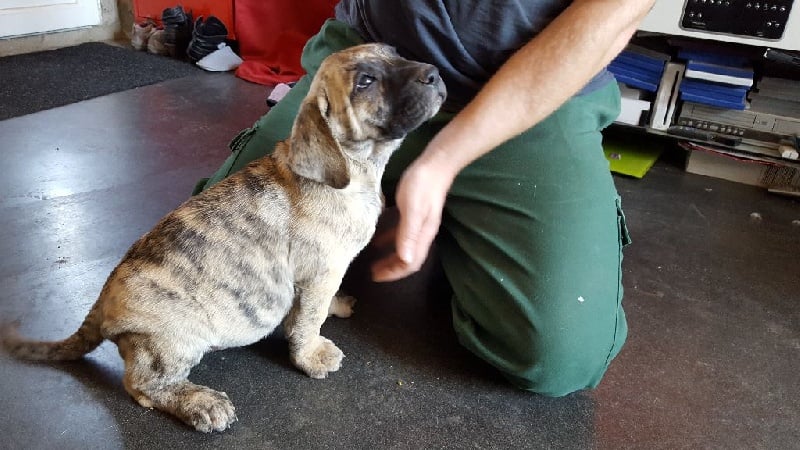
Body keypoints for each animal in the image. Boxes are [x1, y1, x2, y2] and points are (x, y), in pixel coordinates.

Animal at [2, 43, 446, 433]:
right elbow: (307, 320)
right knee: (142, 385)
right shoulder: (318, 273)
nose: (434, 74)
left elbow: (317, 307)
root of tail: (101, 304)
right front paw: (312, 354)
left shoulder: (324, 276)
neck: (353, 166)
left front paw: (335, 307)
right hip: (174, 339)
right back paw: (200, 403)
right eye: (365, 81)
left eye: (395, 54)